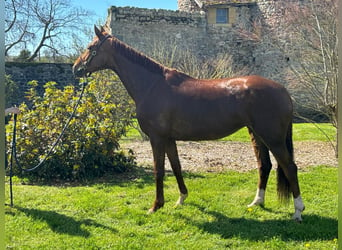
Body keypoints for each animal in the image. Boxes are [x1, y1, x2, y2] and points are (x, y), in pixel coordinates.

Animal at [73, 25, 304, 221]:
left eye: (90, 48)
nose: (76, 69)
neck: (152, 85)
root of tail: (283, 90)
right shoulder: (169, 139)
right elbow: (176, 166)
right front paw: (181, 198)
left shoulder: (157, 138)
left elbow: (159, 170)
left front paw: (155, 206)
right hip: (257, 134)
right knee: (265, 165)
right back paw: (256, 202)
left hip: (272, 138)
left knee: (289, 167)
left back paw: (298, 211)